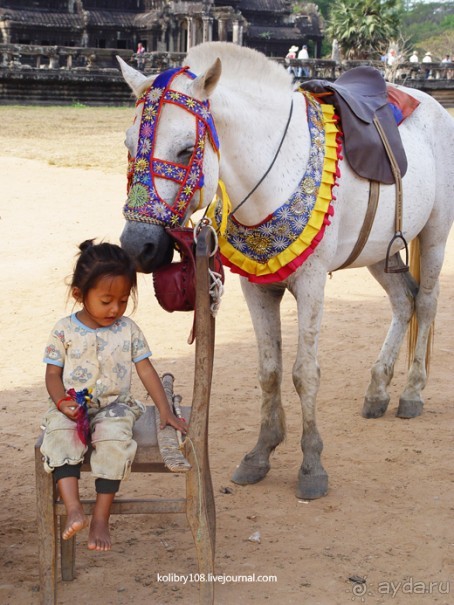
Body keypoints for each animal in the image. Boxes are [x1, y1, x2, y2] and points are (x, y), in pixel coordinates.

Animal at [116, 41, 454, 496]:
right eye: (128, 144)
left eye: (187, 150)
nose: (138, 246)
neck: (271, 173)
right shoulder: (256, 287)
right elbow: (269, 372)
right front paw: (260, 453)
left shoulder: (311, 283)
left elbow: (303, 374)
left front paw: (311, 465)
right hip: (379, 250)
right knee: (405, 302)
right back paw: (378, 389)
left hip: (435, 232)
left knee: (428, 303)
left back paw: (412, 392)